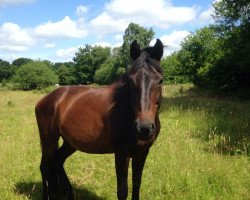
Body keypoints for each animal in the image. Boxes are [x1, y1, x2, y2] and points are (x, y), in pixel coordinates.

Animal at [35, 39, 164, 200]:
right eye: (131, 81)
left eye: (160, 81)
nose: (144, 128)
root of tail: (47, 98)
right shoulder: (121, 154)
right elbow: (122, 191)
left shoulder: (142, 152)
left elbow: (136, 185)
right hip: (49, 139)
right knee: (45, 166)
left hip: (70, 142)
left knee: (57, 161)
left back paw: (69, 193)